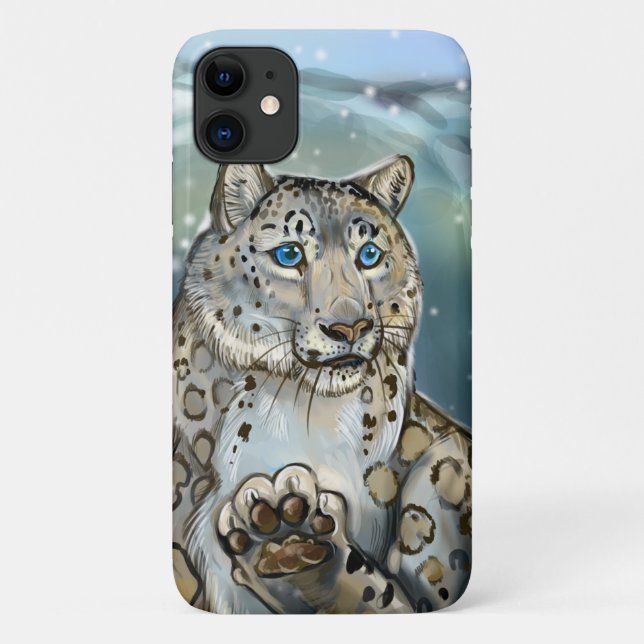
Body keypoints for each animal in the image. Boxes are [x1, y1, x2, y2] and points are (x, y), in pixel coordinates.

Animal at [172, 155, 472, 614]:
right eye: (289, 253)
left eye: (369, 254)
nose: (349, 327)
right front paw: (280, 527)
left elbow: (389, 596)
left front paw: (291, 529)